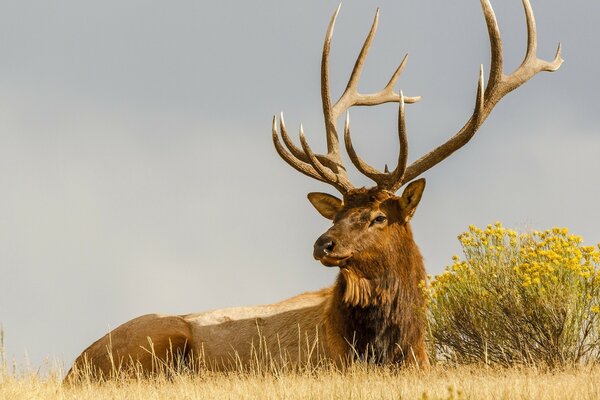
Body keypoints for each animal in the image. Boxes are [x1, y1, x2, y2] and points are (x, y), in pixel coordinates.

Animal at [67, 0, 564, 380]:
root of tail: (75, 365)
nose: (323, 244)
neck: (390, 347)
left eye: (379, 216)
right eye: (336, 212)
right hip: (160, 339)